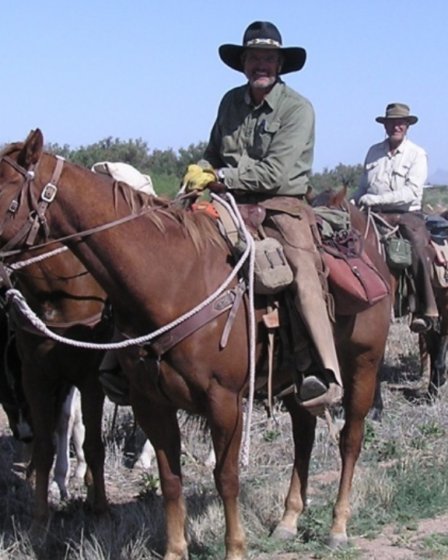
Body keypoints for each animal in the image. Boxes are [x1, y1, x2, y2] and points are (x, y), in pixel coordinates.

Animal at [0, 129, 390, 556]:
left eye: (3, 185)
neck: (172, 279)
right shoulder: (147, 400)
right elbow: (170, 479)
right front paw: (175, 549)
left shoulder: (223, 400)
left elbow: (226, 477)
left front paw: (234, 548)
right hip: (295, 378)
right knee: (303, 434)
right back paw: (288, 520)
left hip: (364, 364)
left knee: (350, 438)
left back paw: (338, 525)